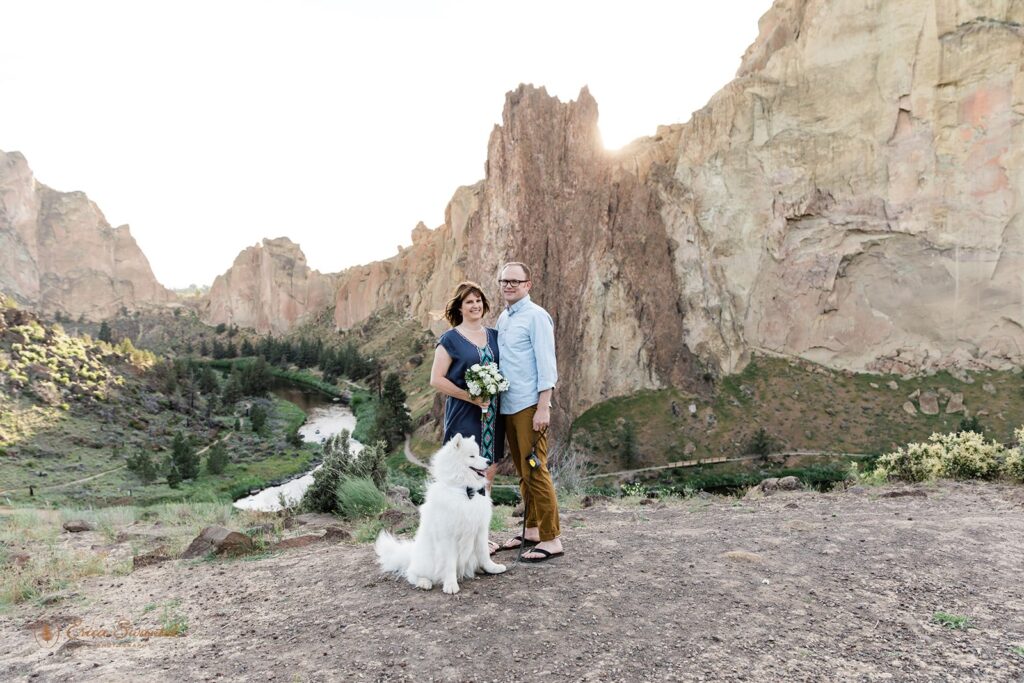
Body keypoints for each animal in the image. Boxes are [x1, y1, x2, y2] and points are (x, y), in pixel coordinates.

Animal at [374, 436, 505, 593]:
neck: (464, 491)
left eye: (479, 454)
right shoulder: (448, 537)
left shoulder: (480, 529)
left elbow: (484, 553)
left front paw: (492, 568)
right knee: (411, 574)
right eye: (472, 456)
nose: (489, 462)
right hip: (425, 561)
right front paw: (451, 585)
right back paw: (424, 582)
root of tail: (411, 554)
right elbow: (450, 564)